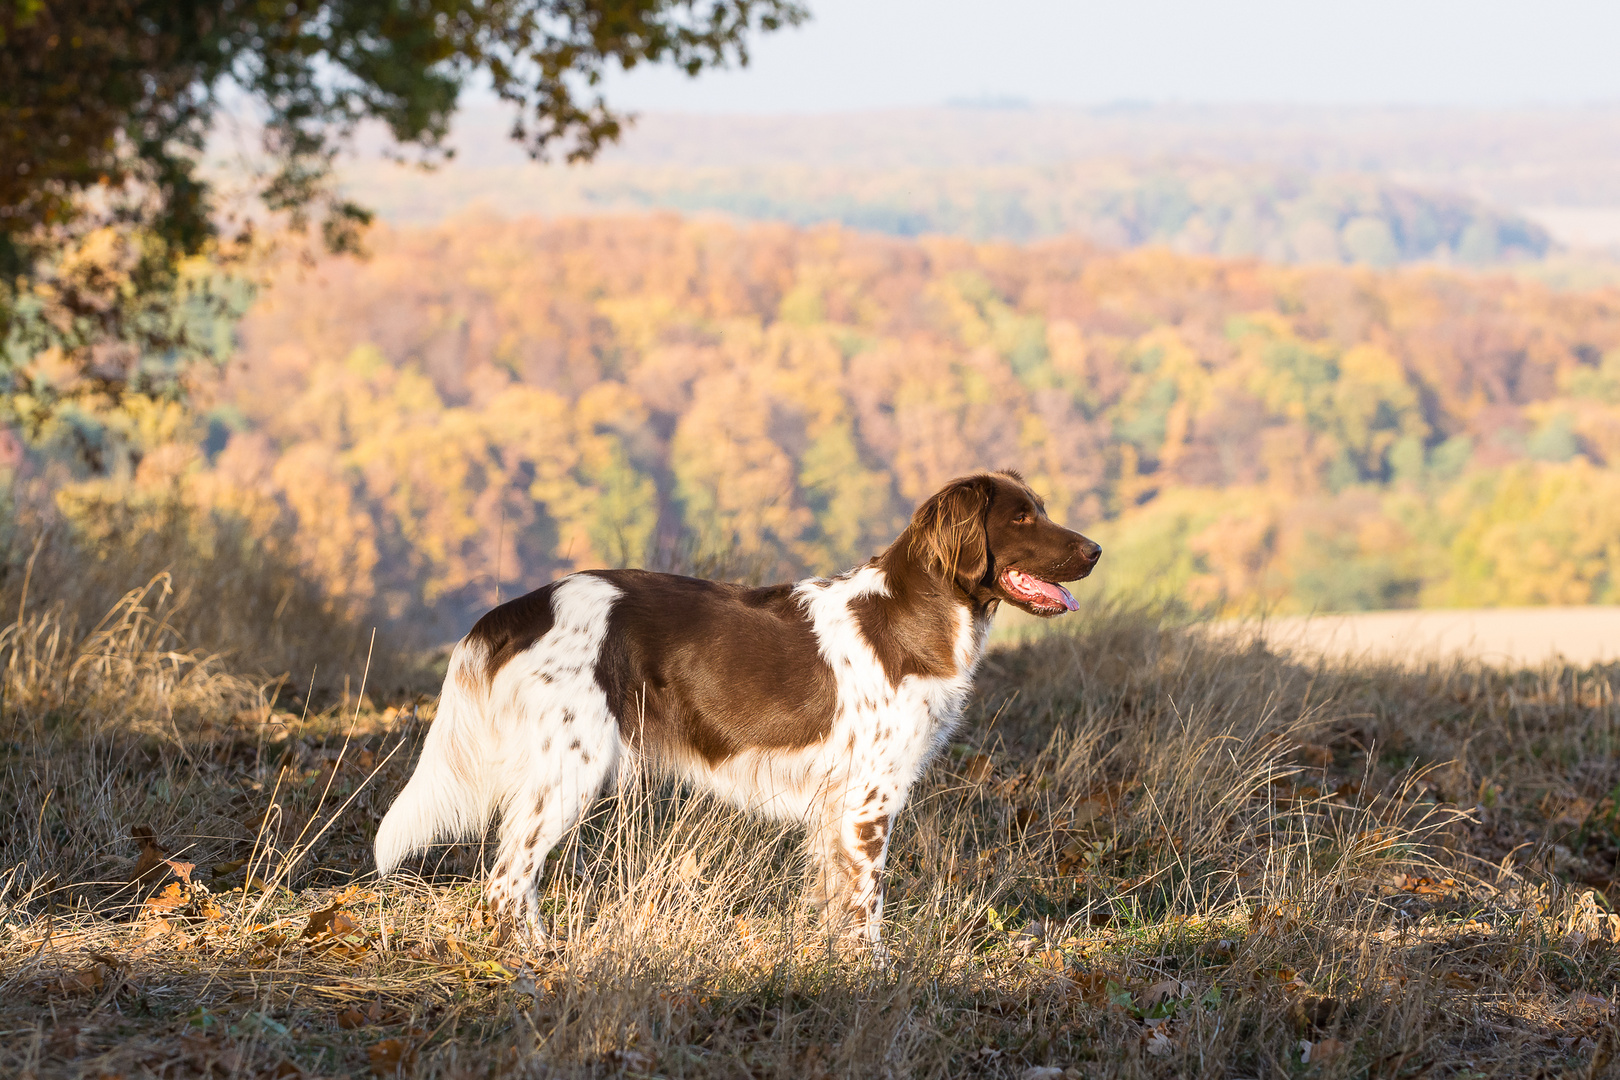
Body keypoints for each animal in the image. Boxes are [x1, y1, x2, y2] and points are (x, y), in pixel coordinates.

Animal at [372, 469, 1095, 945]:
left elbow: (832, 906)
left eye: (1040, 508)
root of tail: (525, 605)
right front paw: (877, 980)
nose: (1095, 550)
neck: (915, 614)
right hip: (569, 771)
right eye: (1021, 517)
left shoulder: (834, 809)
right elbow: (867, 913)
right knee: (506, 883)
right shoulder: (869, 800)